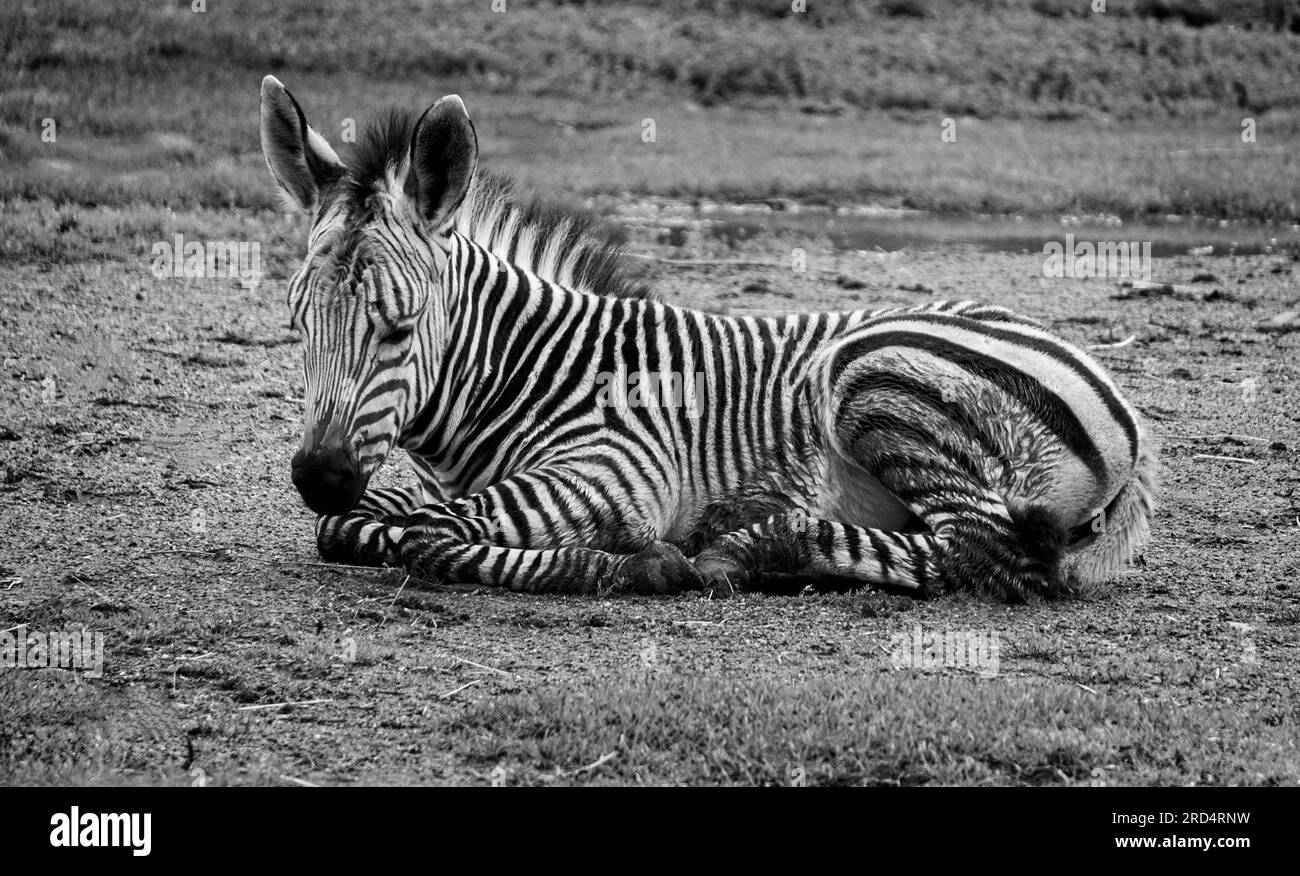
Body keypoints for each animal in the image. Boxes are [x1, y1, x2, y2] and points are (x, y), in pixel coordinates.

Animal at [259, 76, 1157, 602]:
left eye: (398, 328)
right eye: (298, 325)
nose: (318, 476)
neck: (527, 371)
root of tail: (1125, 413)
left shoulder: (615, 470)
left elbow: (424, 536)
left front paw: (635, 563)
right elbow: (361, 527)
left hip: (875, 377)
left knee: (981, 554)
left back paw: (752, 548)